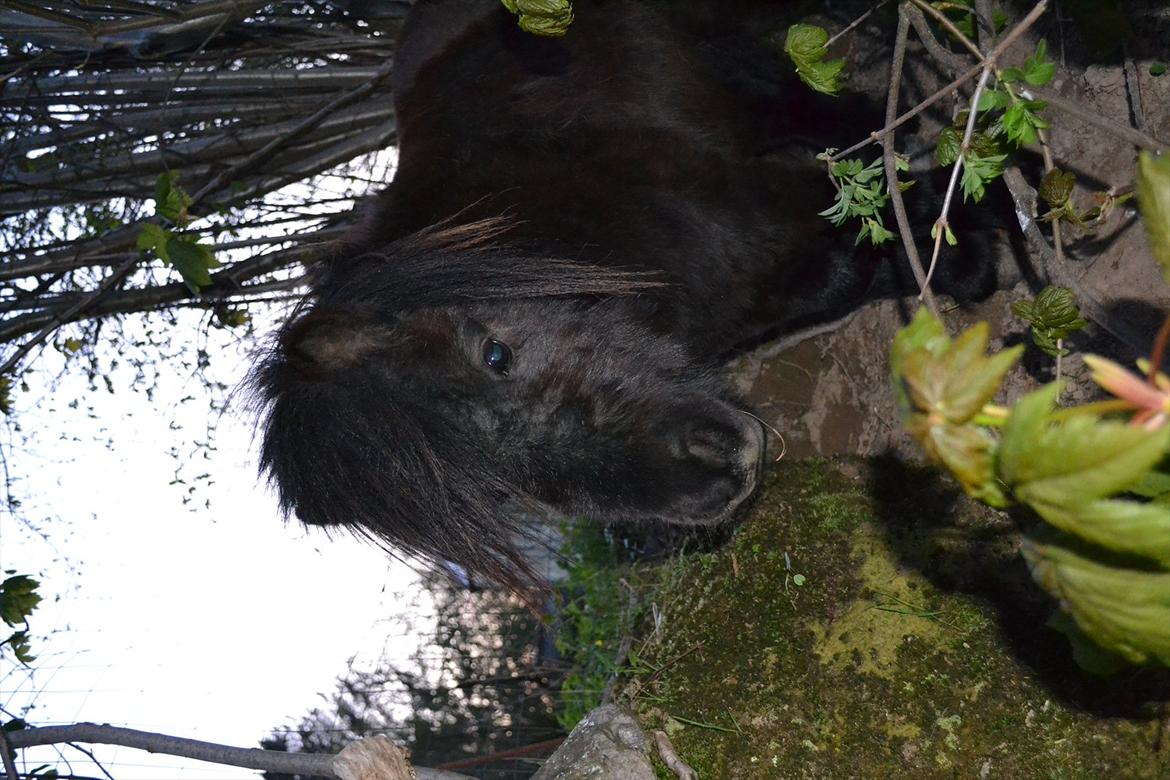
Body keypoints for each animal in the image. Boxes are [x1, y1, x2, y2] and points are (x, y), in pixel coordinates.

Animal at [251, 0, 1001, 594]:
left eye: (496, 354)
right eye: (496, 488)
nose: (721, 475)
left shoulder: (767, 210)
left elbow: (878, 219)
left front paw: (977, 235)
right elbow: (847, 270)